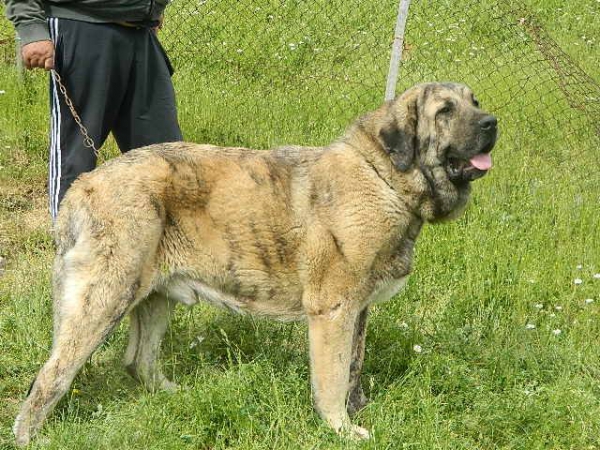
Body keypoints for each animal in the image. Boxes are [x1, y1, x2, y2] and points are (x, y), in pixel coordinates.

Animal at [14, 82, 496, 444]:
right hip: (103, 299)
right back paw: (28, 435)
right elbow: (333, 376)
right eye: (445, 110)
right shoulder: (333, 310)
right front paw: (341, 428)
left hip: (152, 297)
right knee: (51, 376)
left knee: (139, 361)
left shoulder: (358, 309)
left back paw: (174, 396)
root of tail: (83, 185)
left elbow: (353, 368)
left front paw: (360, 410)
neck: (385, 177)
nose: (492, 122)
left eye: (475, 102)